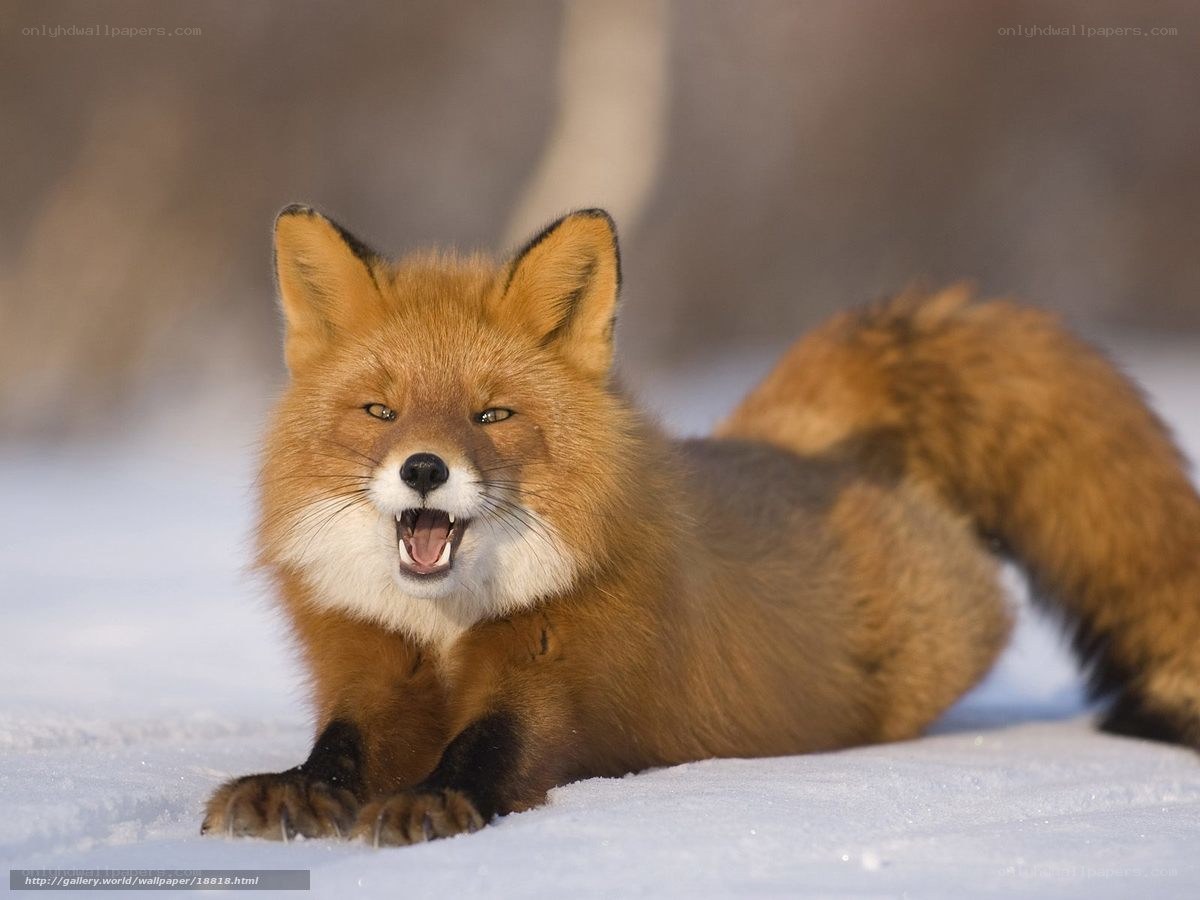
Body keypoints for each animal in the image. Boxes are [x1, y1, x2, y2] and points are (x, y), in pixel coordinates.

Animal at [202, 205, 1200, 845]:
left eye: (492, 415)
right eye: (380, 411)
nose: (422, 468)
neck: (447, 627)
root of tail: (795, 444)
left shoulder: (563, 676)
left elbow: (491, 749)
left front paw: (434, 802)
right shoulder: (369, 664)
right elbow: (341, 747)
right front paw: (294, 792)